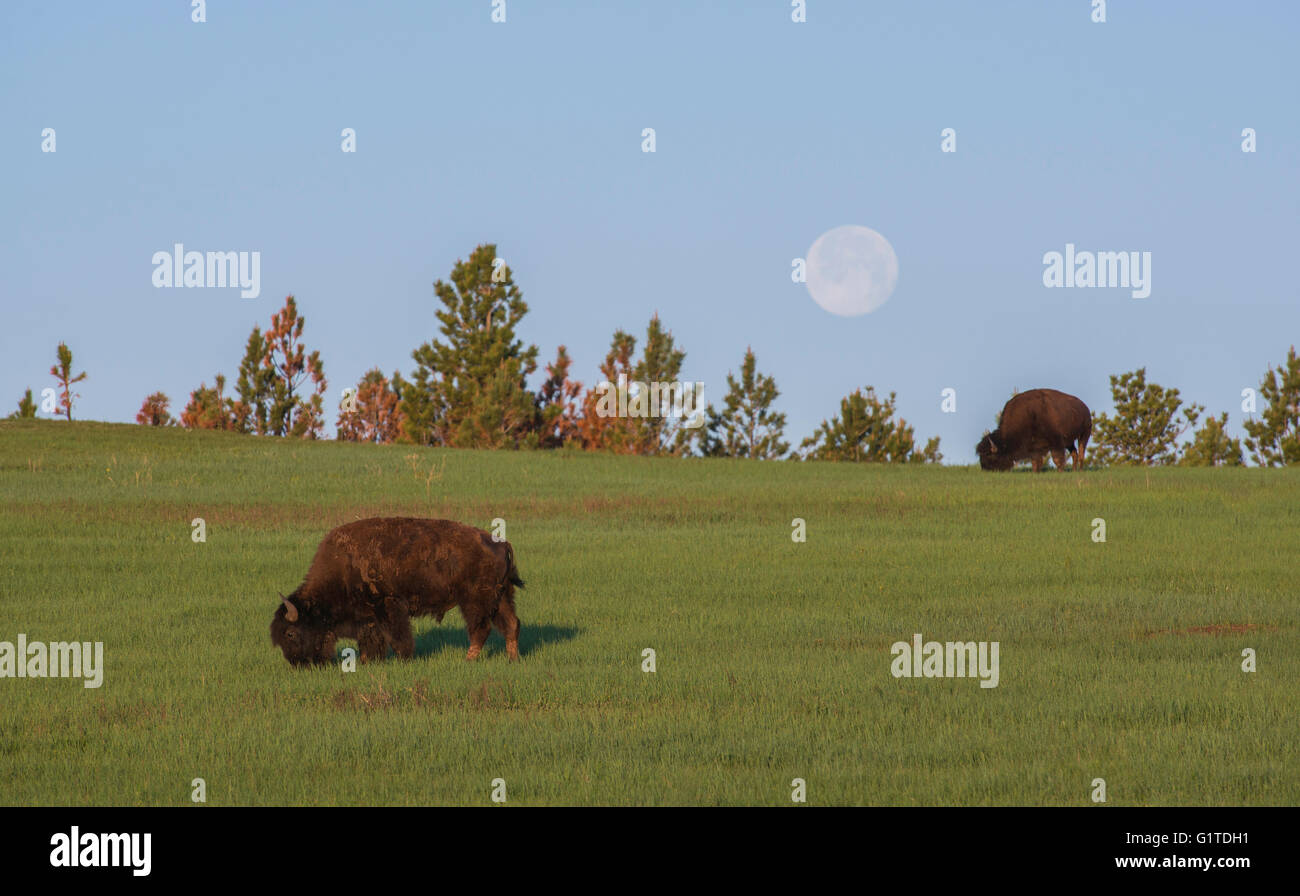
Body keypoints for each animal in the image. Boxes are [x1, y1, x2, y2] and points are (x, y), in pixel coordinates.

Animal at [271, 517, 525, 663]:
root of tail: (501, 543)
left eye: (290, 633)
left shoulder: (389, 607)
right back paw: (513, 659)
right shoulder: (368, 616)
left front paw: (404, 659)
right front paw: (368, 661)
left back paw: (468, 659)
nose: (298, 664)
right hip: (501, 597)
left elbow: (398, 637)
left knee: (481, 629)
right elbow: (371, 639)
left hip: (474, 600)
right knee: (511, 624)